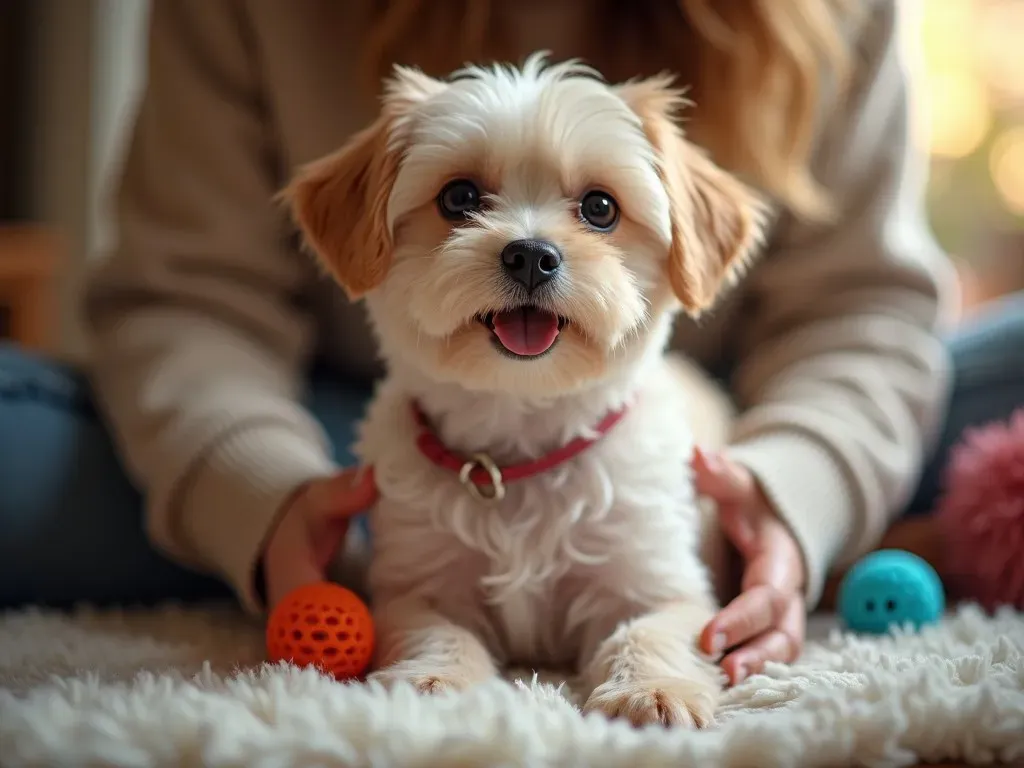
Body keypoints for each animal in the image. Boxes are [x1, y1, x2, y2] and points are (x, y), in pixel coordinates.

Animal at [284, 54, 765, 729]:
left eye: (600, 207)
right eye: (458, 197)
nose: (532, 254)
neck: (521, 443)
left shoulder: (659, 579)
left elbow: (650, 629)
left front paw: (652, 689)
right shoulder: (416, 581)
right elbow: (436, 629)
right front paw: (431, 680)